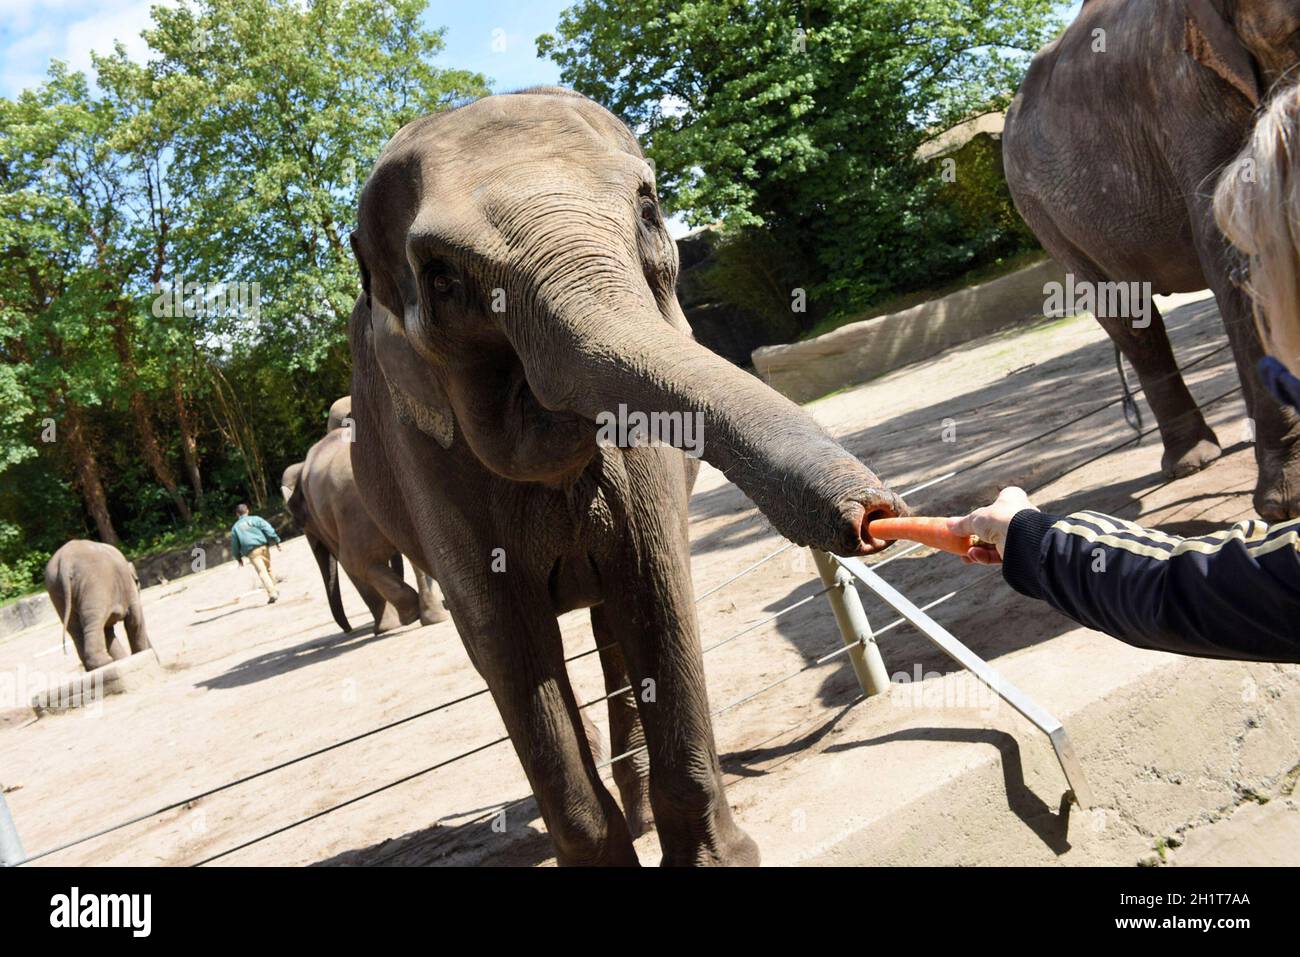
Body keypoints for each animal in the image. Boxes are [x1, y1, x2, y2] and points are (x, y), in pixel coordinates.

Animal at [45, 538, 150, 670]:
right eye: (138, 583)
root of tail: (65, 560)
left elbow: (108, 631)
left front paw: (123, 658)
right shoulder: (130, 593)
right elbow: (134, 621)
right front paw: (140, 652)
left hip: (56, 590)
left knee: (75, 629)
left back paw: (92, 667)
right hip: (95, 585)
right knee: (94, 623)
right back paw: (104, 662)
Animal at [282, 416, 449, 631]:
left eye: (298, 523)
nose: (349, 630)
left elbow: (349, 565)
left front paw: (385, 627)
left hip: (355, 511)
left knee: (353, 560)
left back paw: (409, 614)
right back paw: (431, 617)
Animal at [351, 87, 909, 868]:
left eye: (648, 209)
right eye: (440, 277)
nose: (871, 514)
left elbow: (654, 585)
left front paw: (720, 861)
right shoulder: (426, 458)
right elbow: (505, 637)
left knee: (610, 617)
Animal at [1003, 0, 1300, 520]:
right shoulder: (1184, 91)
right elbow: (1234, 244)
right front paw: (1286, 505)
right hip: (1043, 216)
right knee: (1129, 318)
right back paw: (1192, 462)